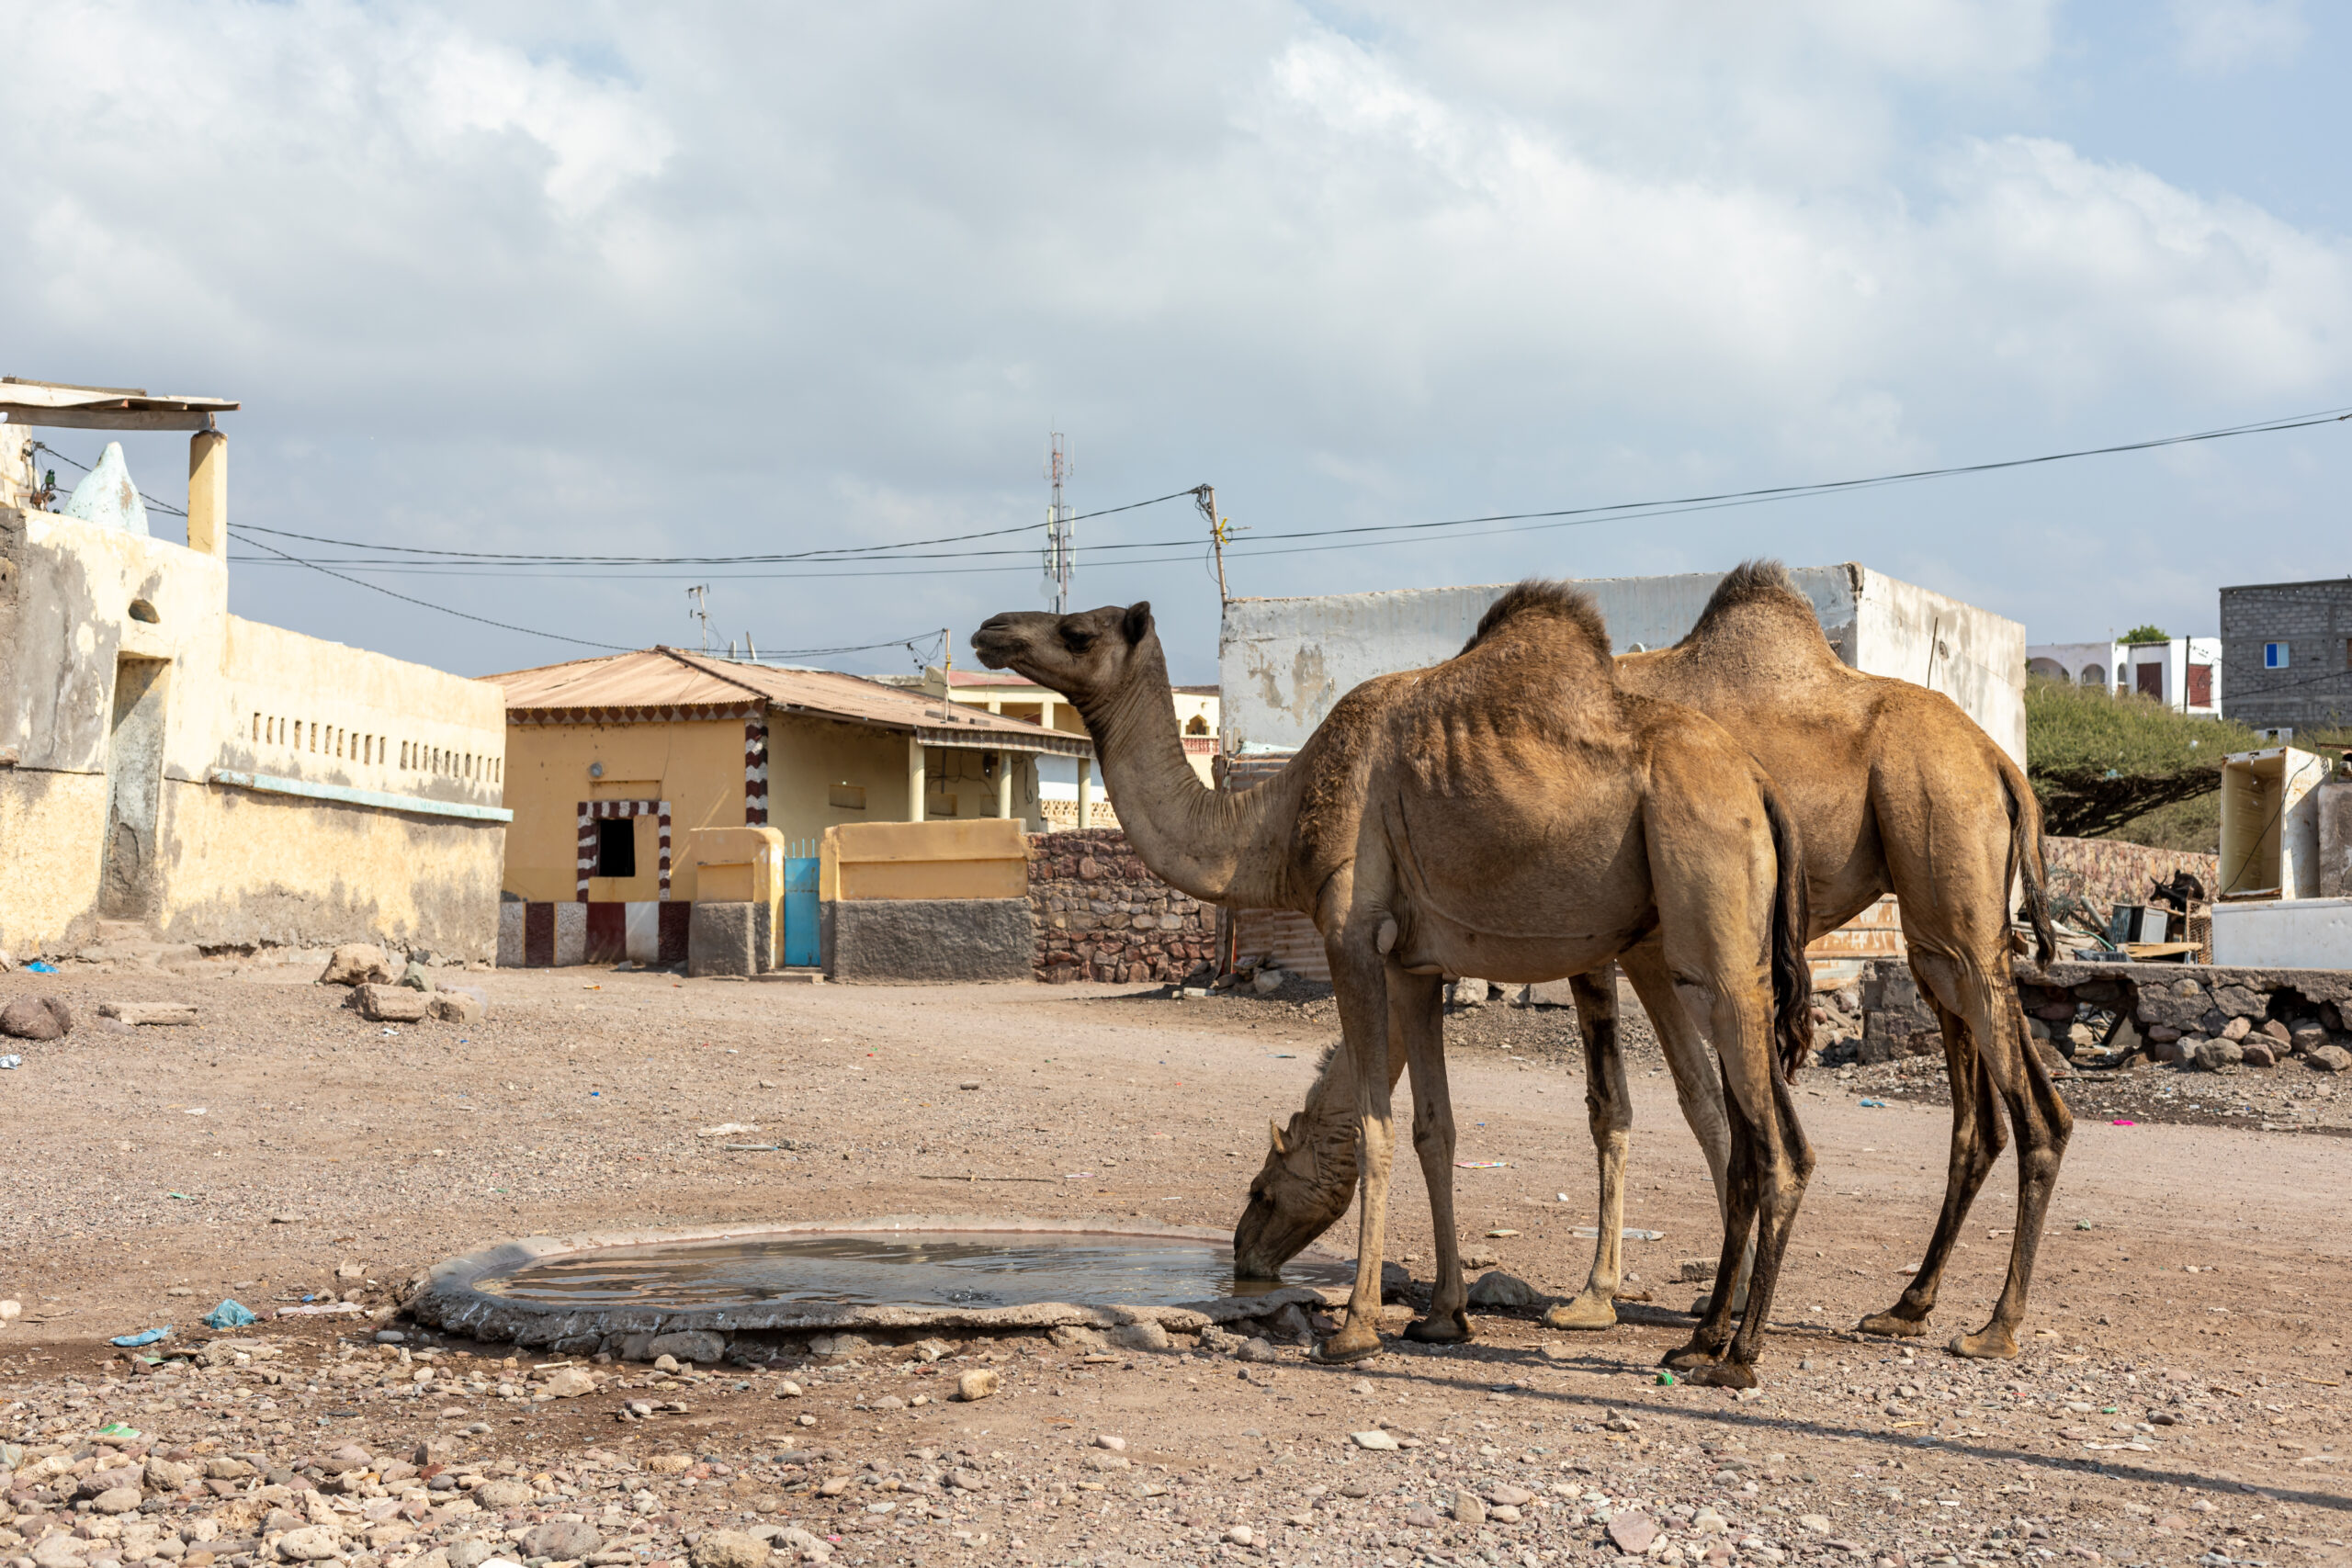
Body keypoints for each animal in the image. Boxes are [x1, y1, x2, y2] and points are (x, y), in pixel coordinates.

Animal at [973, 585, 1815, 1382]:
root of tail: (1760, 782)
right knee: (1750, 1133)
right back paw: (1701, 1336)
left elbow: (1375, 1128)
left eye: (1078, 630)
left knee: (1772, 1145)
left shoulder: (1350, 931)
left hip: (1707, 915)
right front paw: (1443, 1316)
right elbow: (1432, 1129)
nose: (990, 630)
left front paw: (1354, 1327)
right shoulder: (1417, 962)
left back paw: (1733, 1354)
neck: (1274, 819)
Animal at [1241, 561, 2069, 1363]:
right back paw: (1907, 1307)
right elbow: (1691, 1102)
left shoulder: (1617, 945)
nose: (1246, 1253)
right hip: (1938, 927)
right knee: (1977, 1111)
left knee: (2032, 1108)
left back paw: (1995, 1326)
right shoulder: (1633, 945)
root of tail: (2003, 765)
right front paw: (1689, 1302)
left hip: (1941, 852)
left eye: (1263, 1186)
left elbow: (1644, 1102)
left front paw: (1599, 1300)